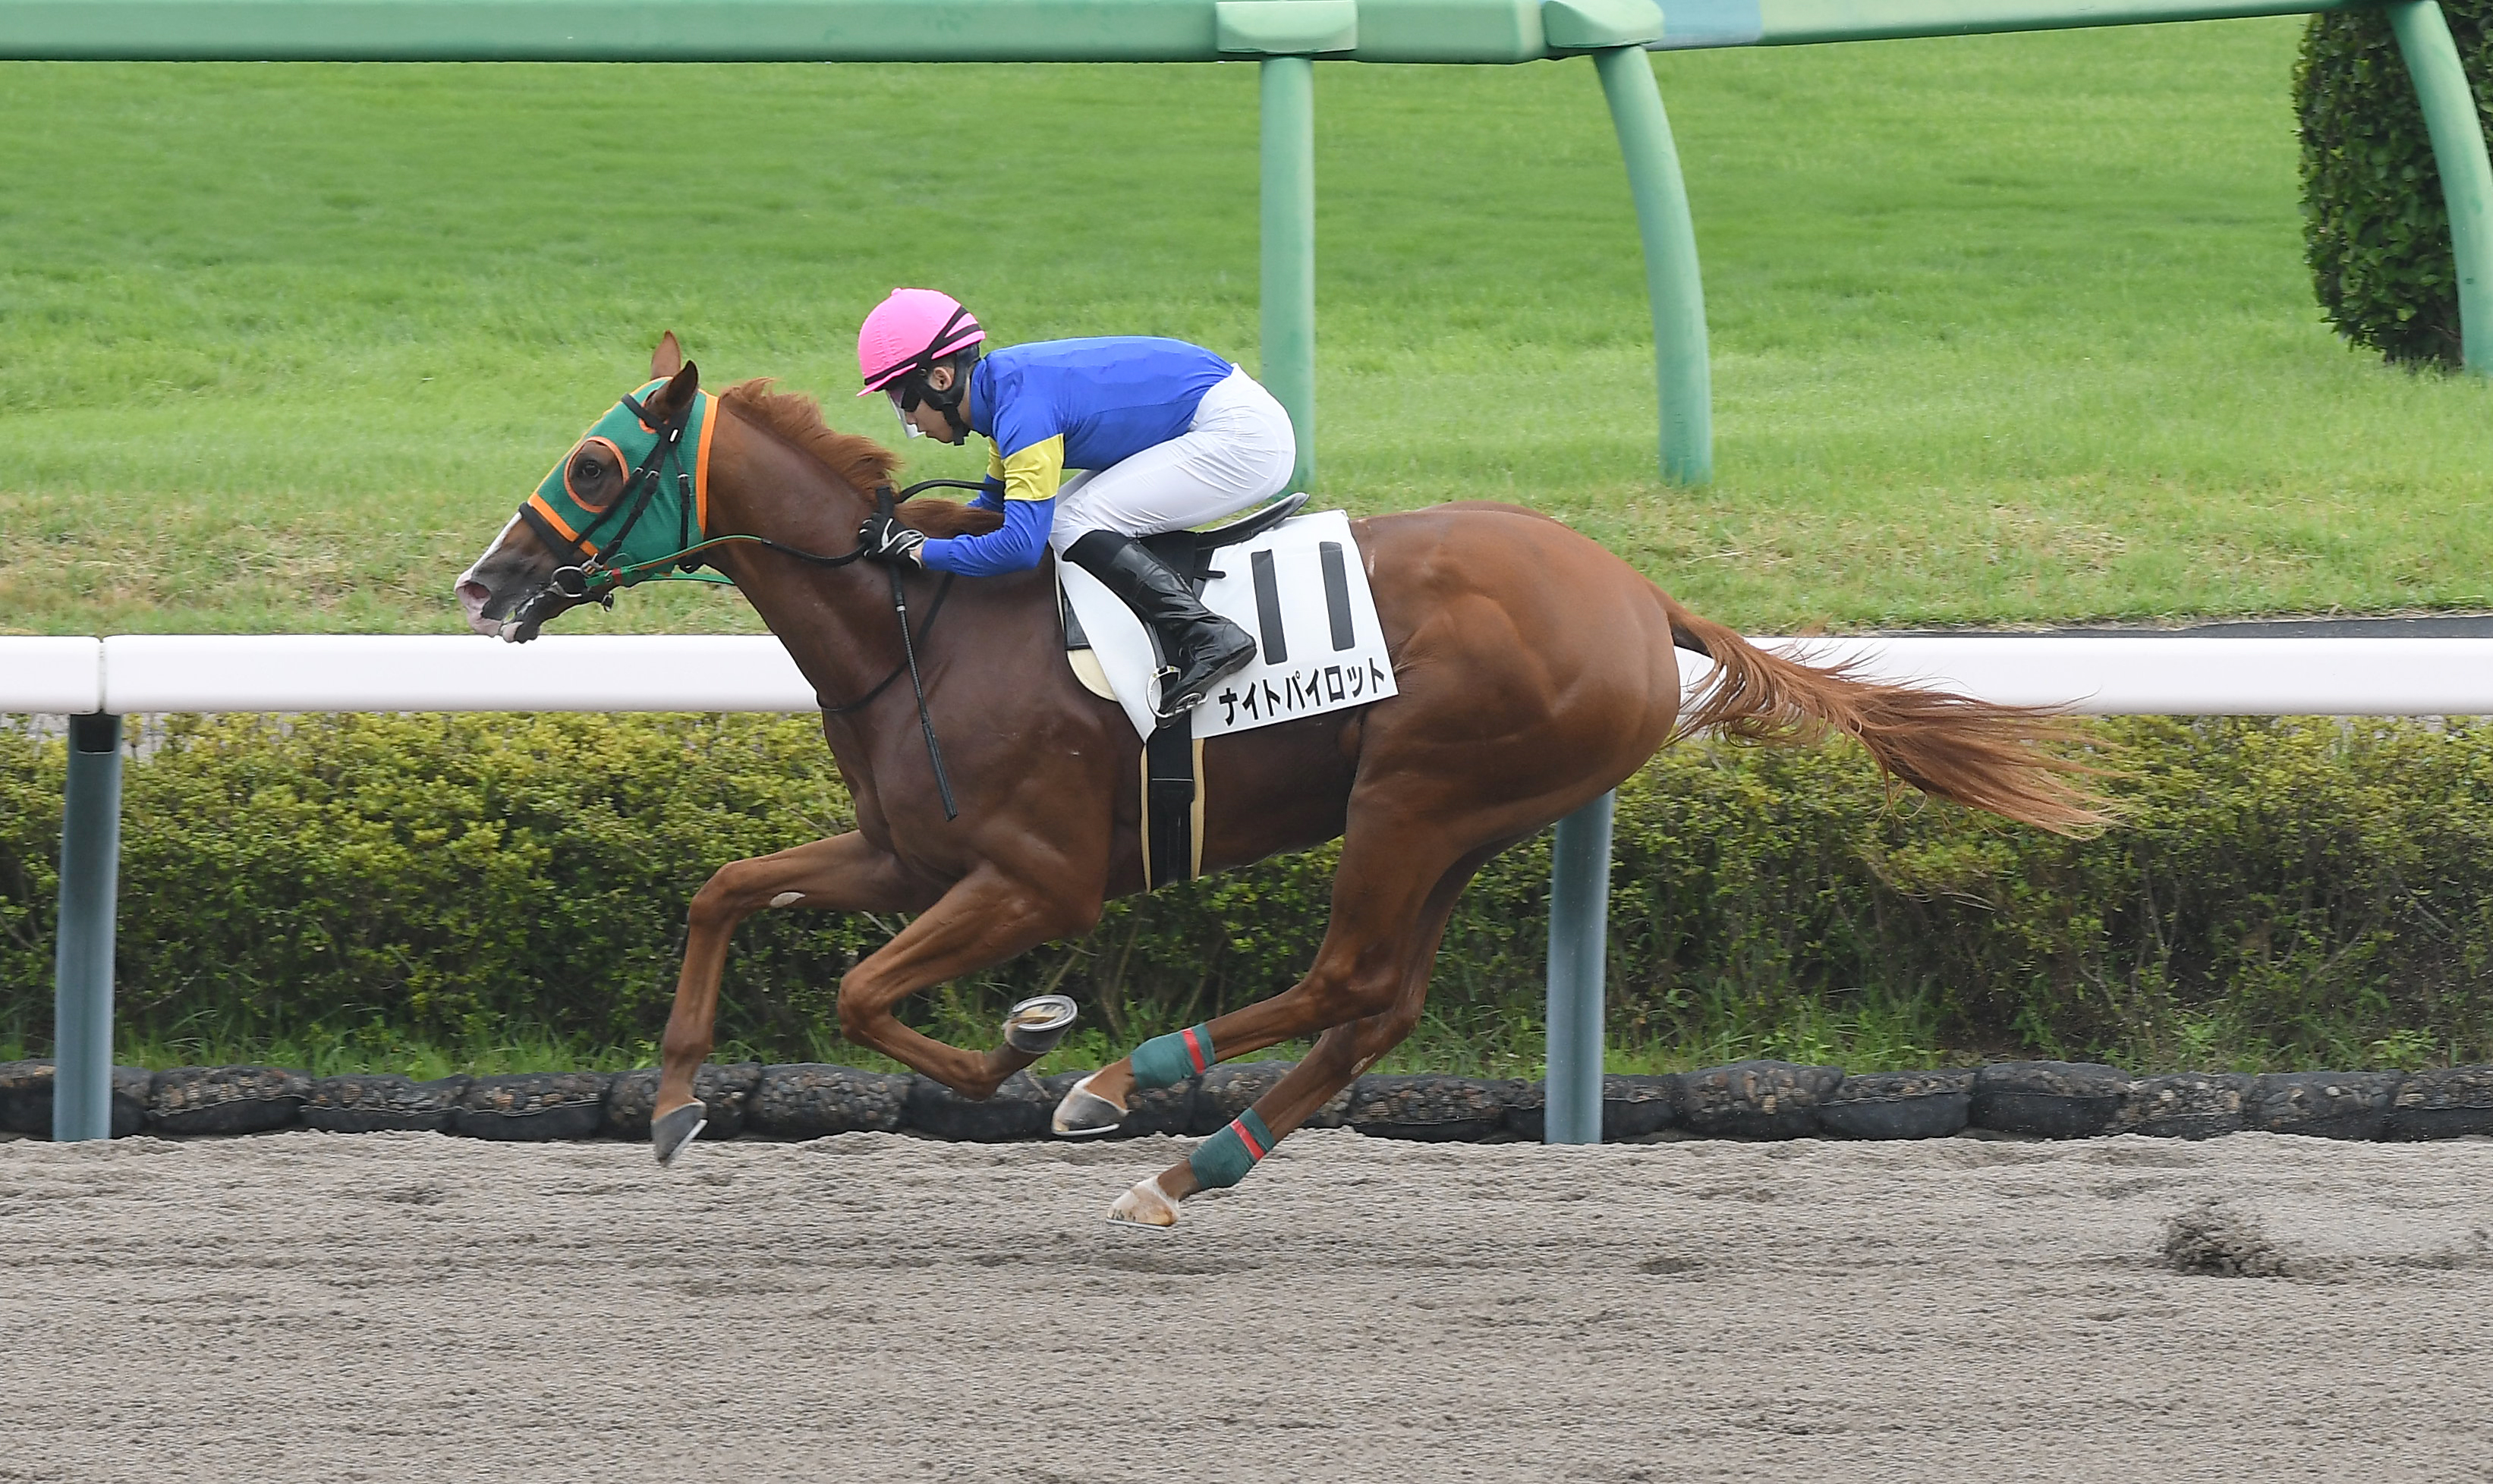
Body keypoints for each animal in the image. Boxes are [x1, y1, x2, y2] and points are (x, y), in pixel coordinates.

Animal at [457, 334, 2104, 1227]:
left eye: (593, 469)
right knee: (1378, 1003)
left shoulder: (1036, 878)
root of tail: (1640, 595)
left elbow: (866, 994)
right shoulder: (911, 854)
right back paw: (1190, 1165)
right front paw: (677, 1103)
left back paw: (1126, 1086)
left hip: (1421, 797)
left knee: (1346, 977)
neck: (916, 623)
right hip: (1463, 814)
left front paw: (1029, 1043)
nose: (485, 583)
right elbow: (723, 889)